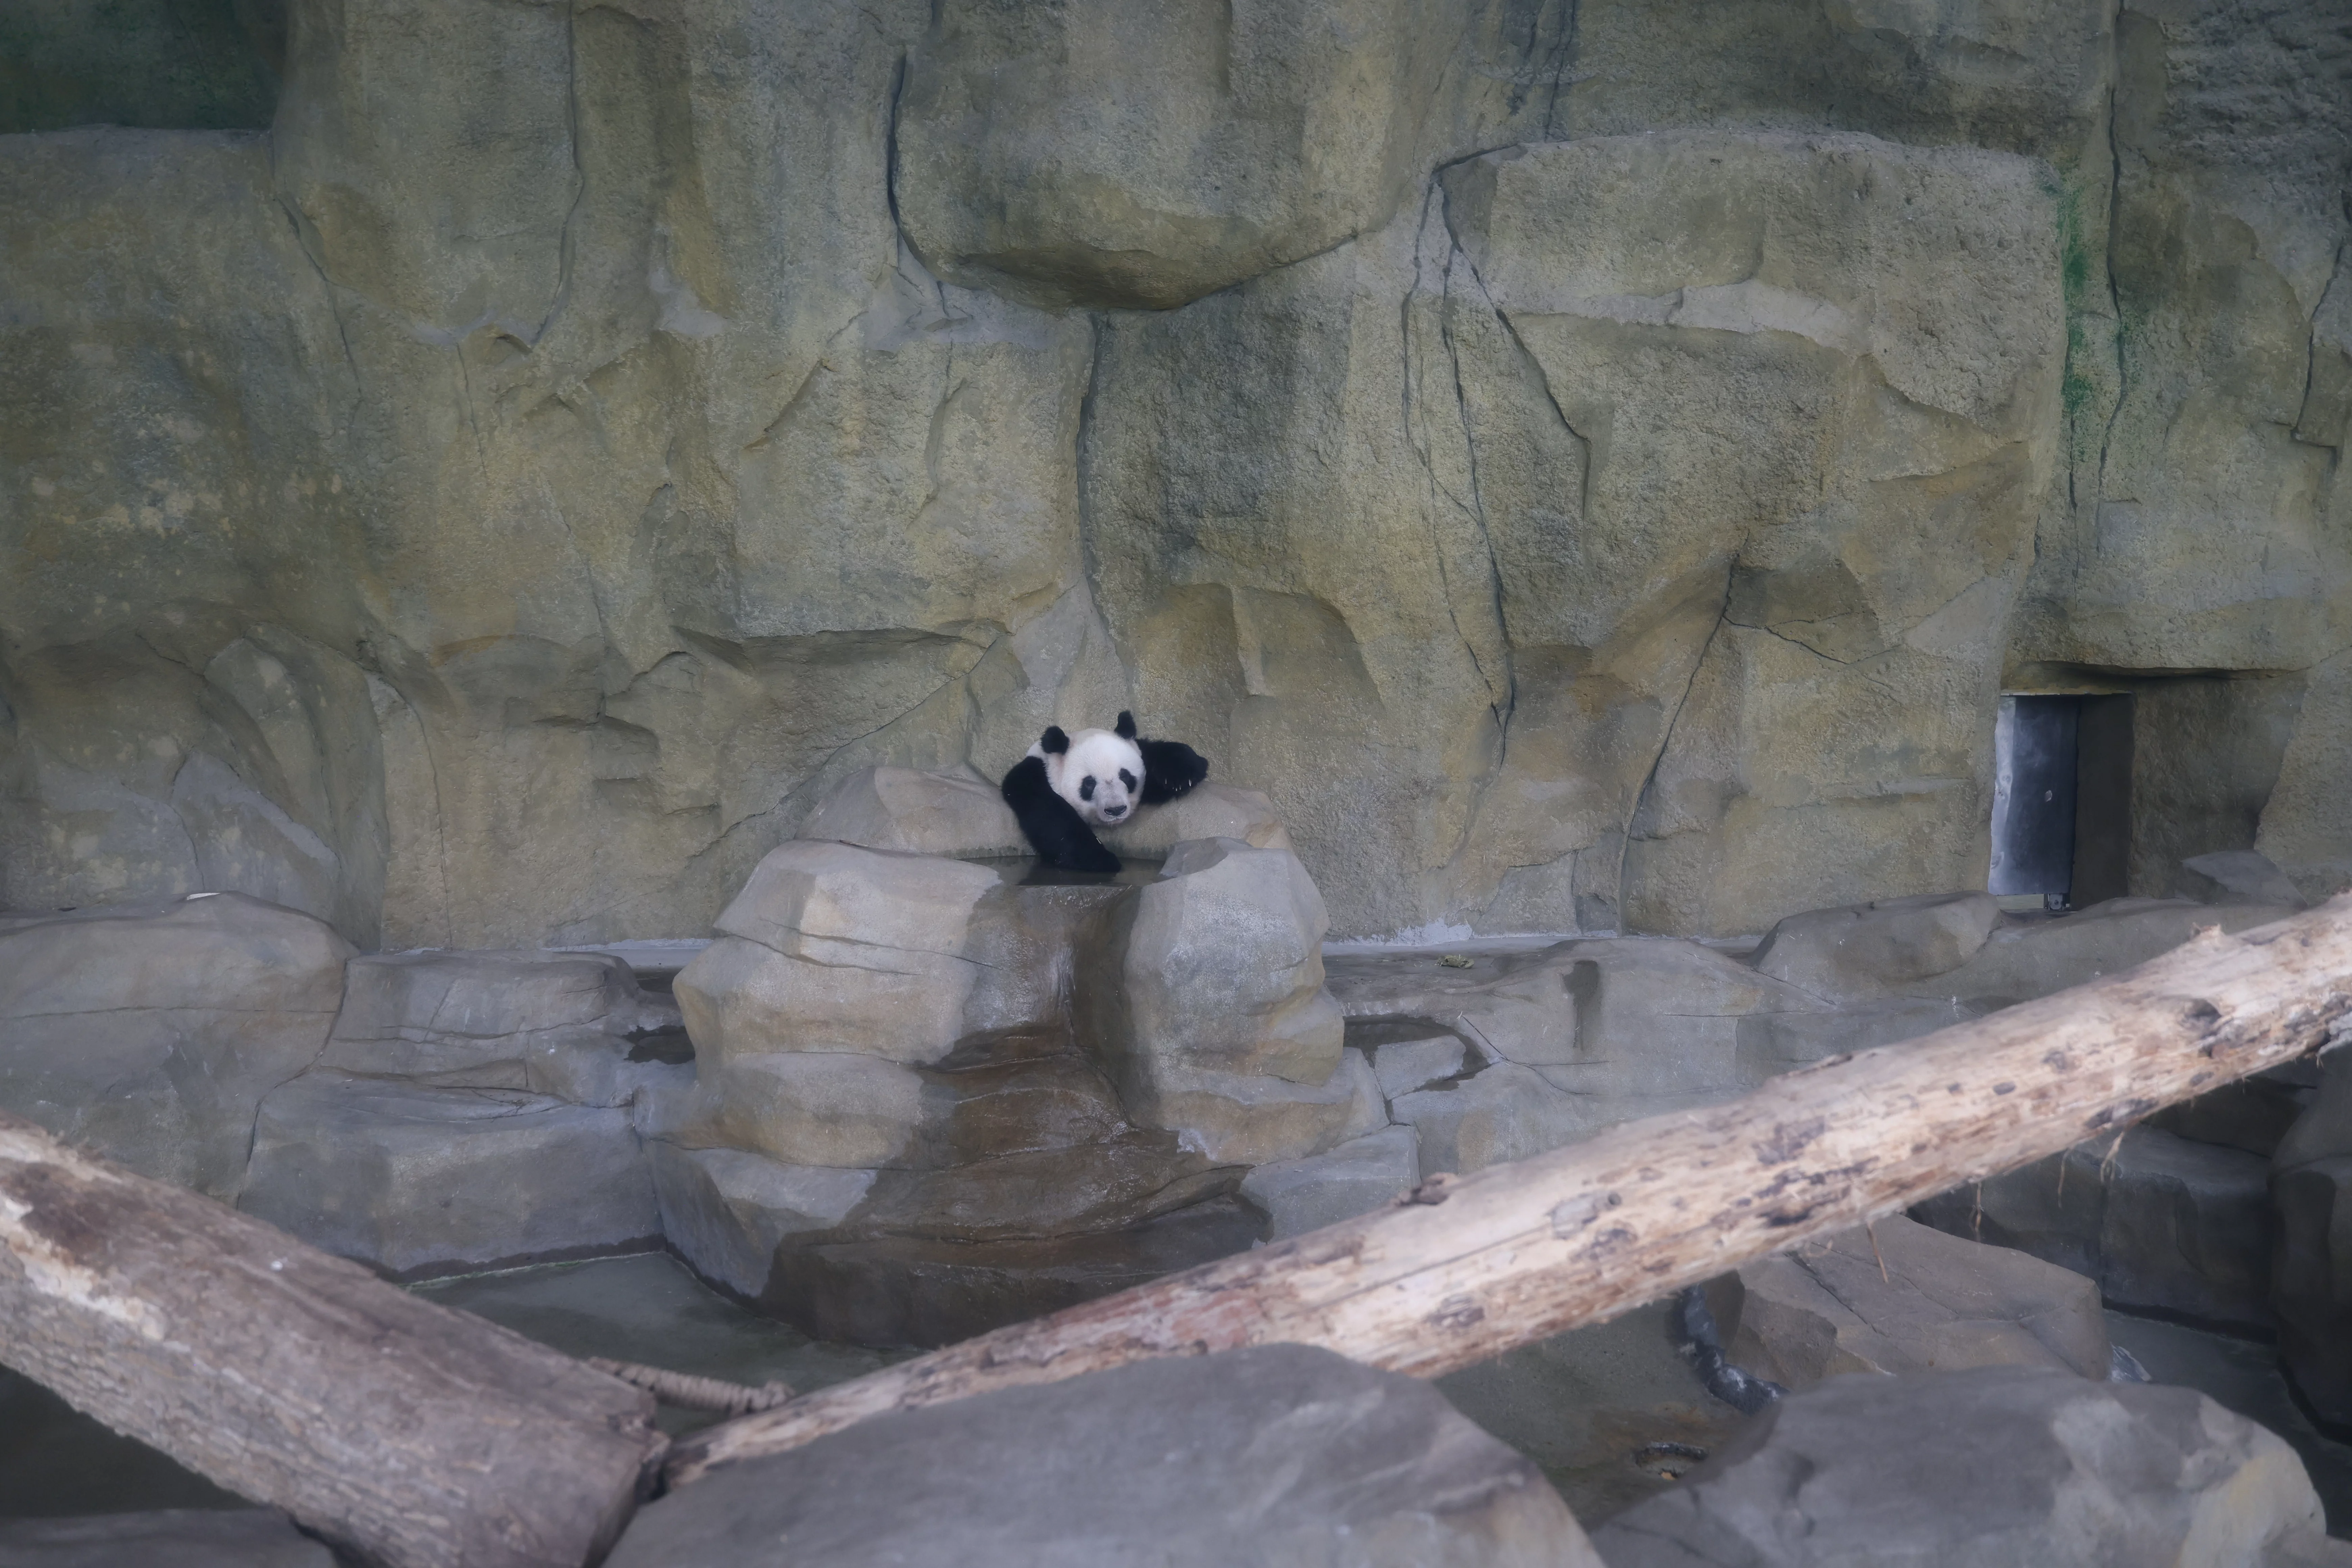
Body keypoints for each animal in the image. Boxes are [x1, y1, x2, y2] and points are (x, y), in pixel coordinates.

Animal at [1000, 711, 1209, 873]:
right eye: (1089, 783)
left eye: (1125, 776)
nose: (1116, 810)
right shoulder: (1030, 779)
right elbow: (1051, 817)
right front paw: (1099, 858)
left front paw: (1182, 775)